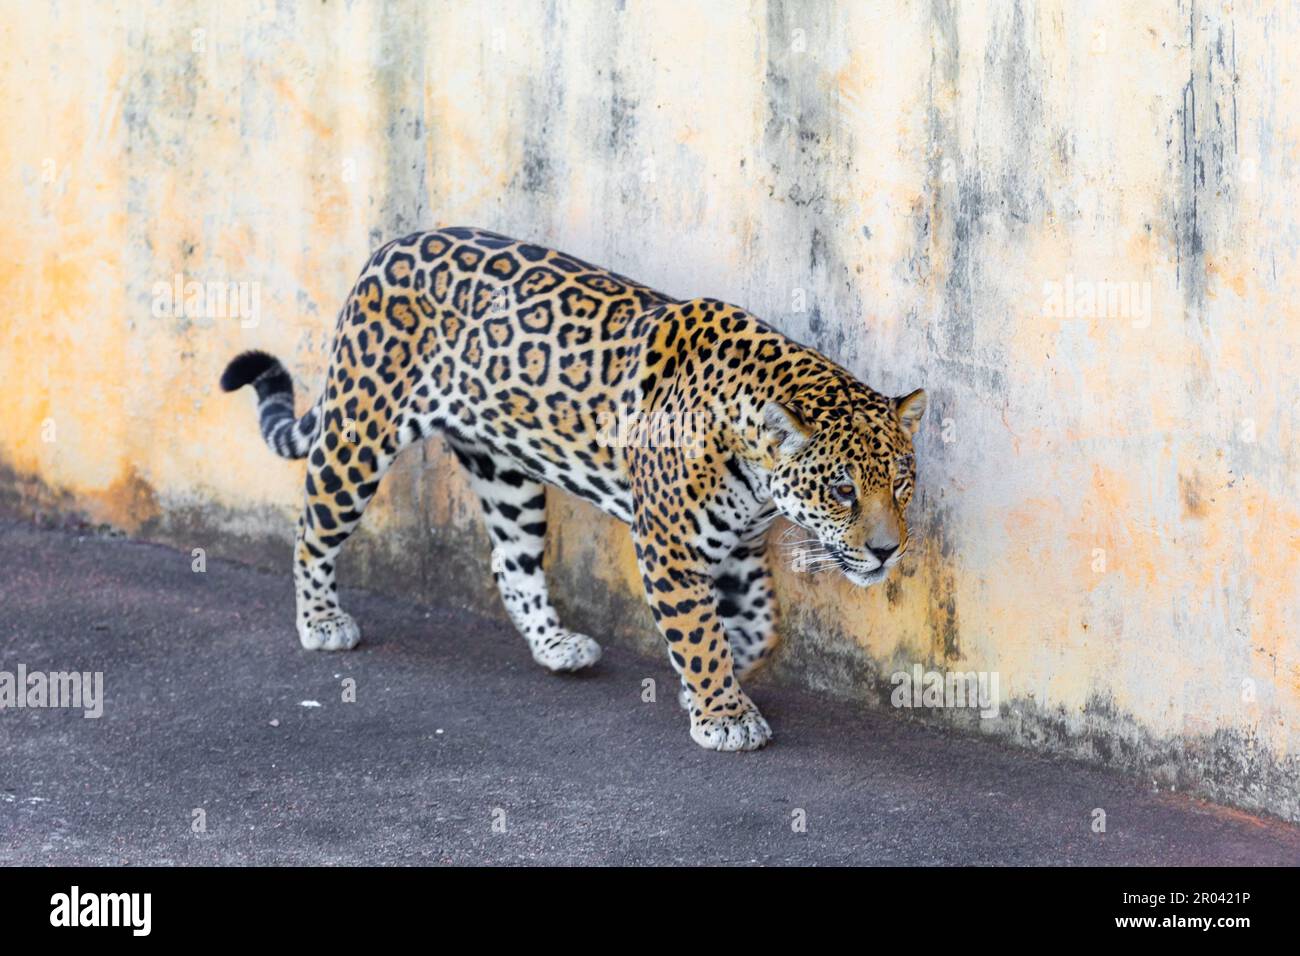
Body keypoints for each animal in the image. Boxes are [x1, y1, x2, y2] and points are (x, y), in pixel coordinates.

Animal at [221, 227, 926, 751]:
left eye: (900, 483)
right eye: (841, 490)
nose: (887, 551)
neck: (754, 465)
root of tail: (389, 247)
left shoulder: (737, 546)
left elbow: (757, 625)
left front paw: (703, 689)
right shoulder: (670, 546)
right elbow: (700, 628)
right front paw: (723, 715)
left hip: (504, 473)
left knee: (510, 564)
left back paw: (557, 646)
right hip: (359, 431)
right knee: (312, 531)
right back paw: (321, 621)